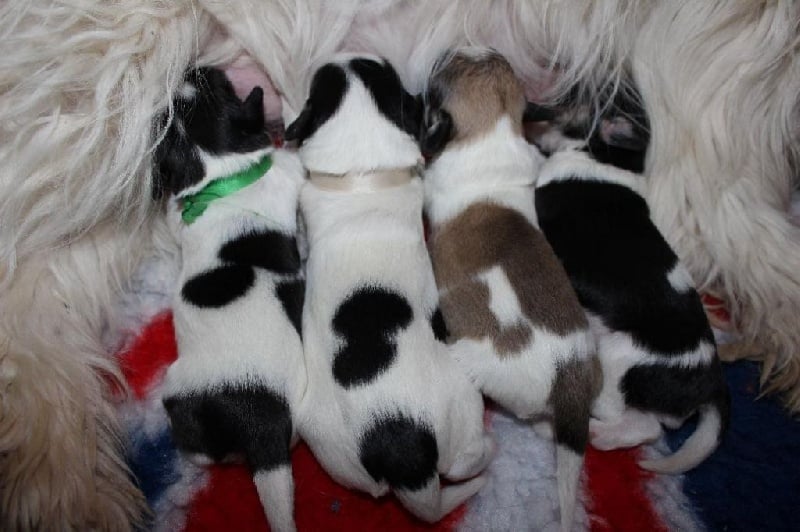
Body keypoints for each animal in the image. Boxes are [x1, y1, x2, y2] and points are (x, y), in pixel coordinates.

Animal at [532, 102, 732, 472]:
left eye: (570, 111)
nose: (536, 118)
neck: (615, 161)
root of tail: (712, 379)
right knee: (649, 426)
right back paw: (603, 437)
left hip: (618, 355)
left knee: (618, 411)